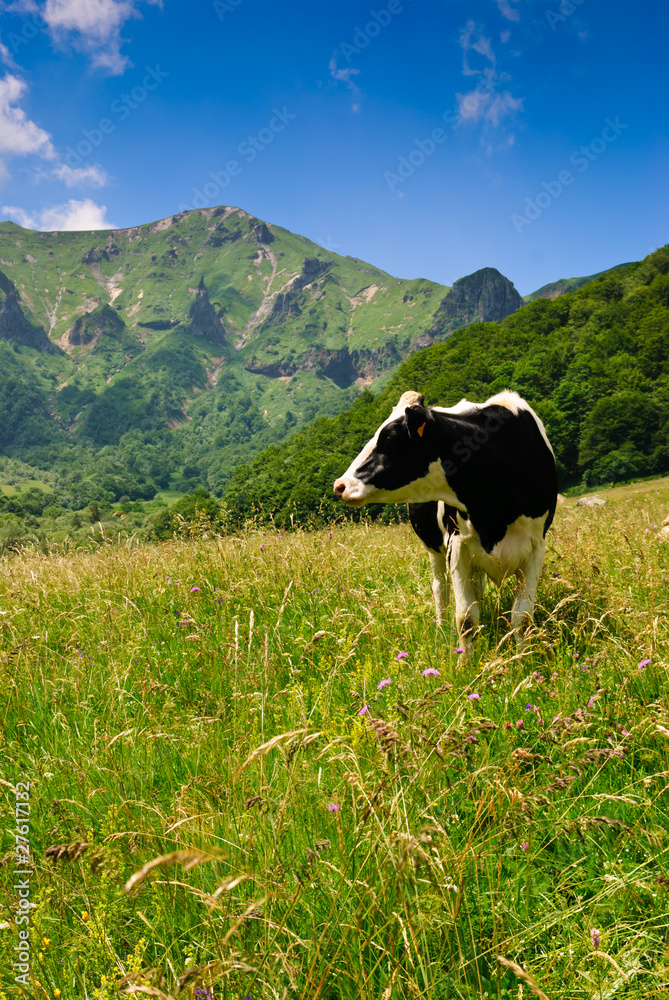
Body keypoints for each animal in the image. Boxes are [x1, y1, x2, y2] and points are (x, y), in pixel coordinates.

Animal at [334, 386, 560, 652]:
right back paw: (441, 628)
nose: (340, 485)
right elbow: (466, 619)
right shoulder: (457, 544)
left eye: (388, 438)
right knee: (439, 588)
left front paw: (525, 656)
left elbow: (522, 618)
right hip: (434, 548)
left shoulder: (536, 547)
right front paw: (465, 660)